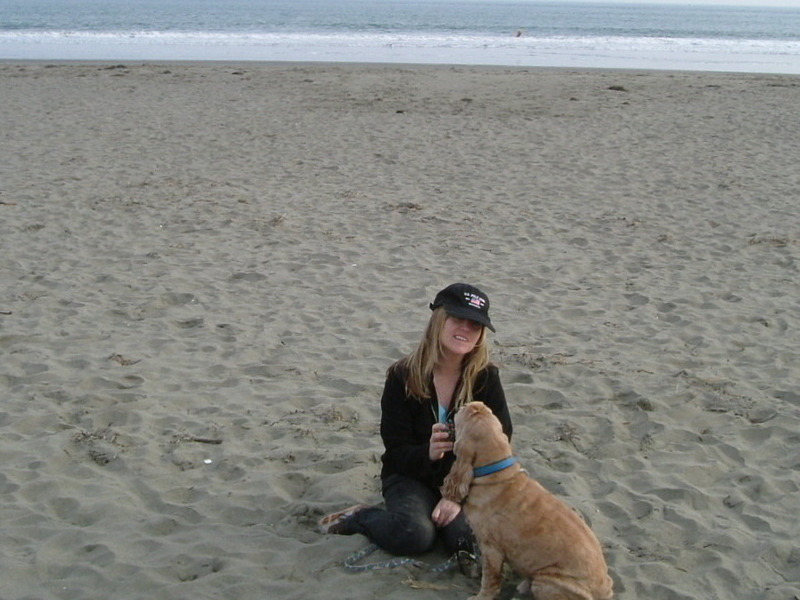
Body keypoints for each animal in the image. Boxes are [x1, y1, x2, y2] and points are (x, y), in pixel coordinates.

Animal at [440, 400, 616, 600]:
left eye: (466, 413)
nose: (469, 403)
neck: (495, 472)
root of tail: (603, 592)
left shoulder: (491, 549)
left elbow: (490, 579)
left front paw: (480, 596)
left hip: (546, 582)